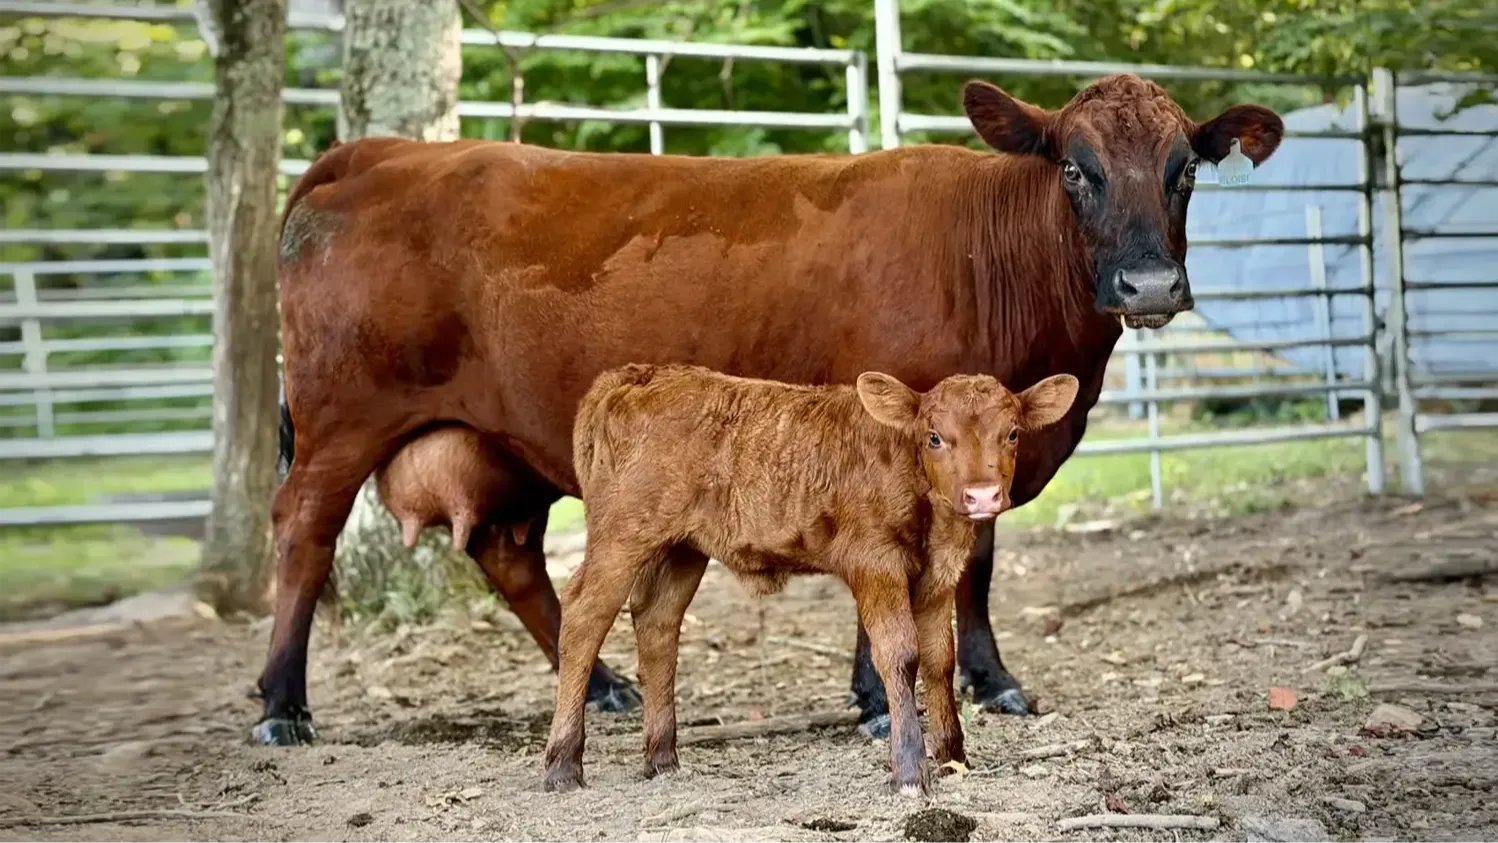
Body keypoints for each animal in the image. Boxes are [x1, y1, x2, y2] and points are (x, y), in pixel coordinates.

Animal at [258, 72, 1283, 745]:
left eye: (1186, 167)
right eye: (1075, 167)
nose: (1149, 283)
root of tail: (380, 153)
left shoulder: (994, 442)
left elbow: (979, 562)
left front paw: (991, 681)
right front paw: (882, 695)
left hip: (499, 440)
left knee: (510, 557)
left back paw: (605, 687)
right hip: (340, 417)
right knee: (305, 533)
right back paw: (281, 705)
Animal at [542, 364, 1079, 795]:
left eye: (1012, 433)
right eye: (934, 437)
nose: (982, 495)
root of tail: (632, 376)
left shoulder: (938, 574)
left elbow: (939, 659)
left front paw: (952, 758)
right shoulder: (875, 563)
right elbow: (899, 655)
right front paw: (909, 771)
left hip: (682, 548)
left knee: (657, 623)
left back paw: (662, 759)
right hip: (621, 533)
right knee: (585, 614)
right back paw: (563, 764)